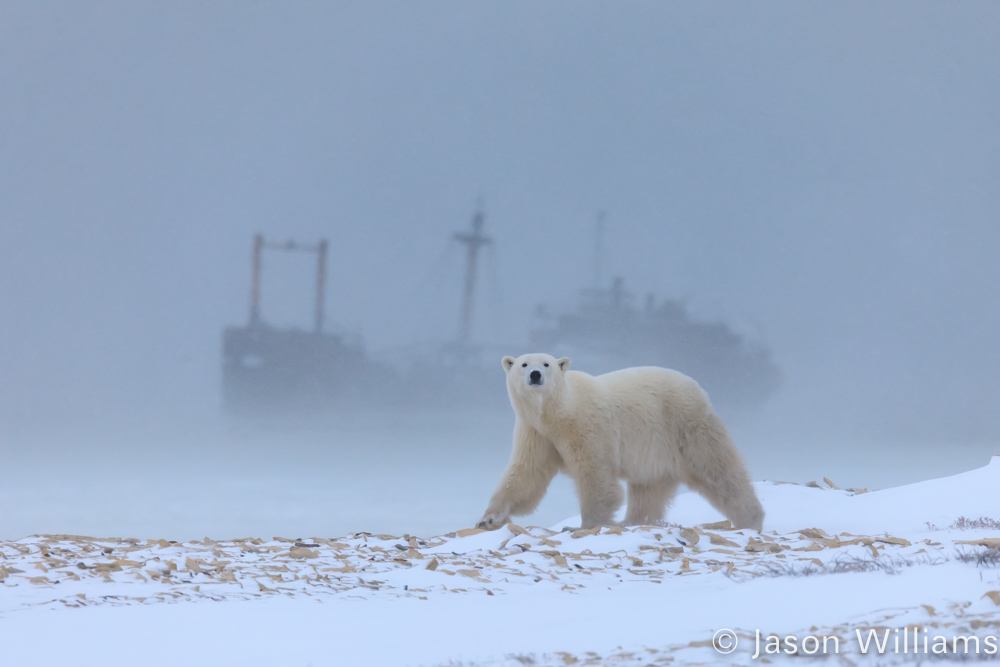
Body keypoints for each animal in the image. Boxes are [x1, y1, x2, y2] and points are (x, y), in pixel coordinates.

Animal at [476, 354, 764, 532]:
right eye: (523, 364)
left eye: (546, 364)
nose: (535, 374)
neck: (557, 412)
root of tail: (699, 389)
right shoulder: (536, 431)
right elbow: (527, 473)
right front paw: (488, 519)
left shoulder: (587, 425)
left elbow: (595, 473)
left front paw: (583, 524)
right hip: (656, 449)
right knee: (648, 488)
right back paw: (632, 521)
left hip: (684, 426)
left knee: (717, 470)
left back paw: (751, 518)